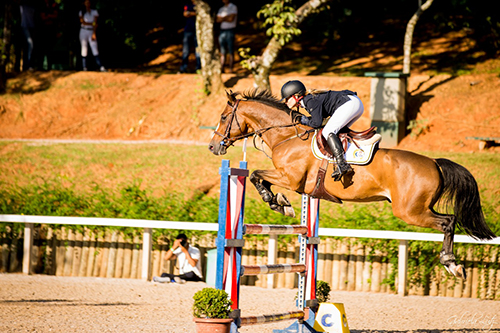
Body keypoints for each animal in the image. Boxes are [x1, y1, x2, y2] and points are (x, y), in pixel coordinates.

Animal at [208, 88, 496, 278]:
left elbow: (256, 175)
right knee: (450, 220)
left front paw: (277, 203)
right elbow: (258, 176)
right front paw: (280, 203)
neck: (286, 136)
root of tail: (434, 162)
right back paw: (452, 262)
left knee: (447, 222)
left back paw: (452, 263)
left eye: (222, 118)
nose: (213, 146)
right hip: (420, 207)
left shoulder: (290, 179)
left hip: (409, 211)